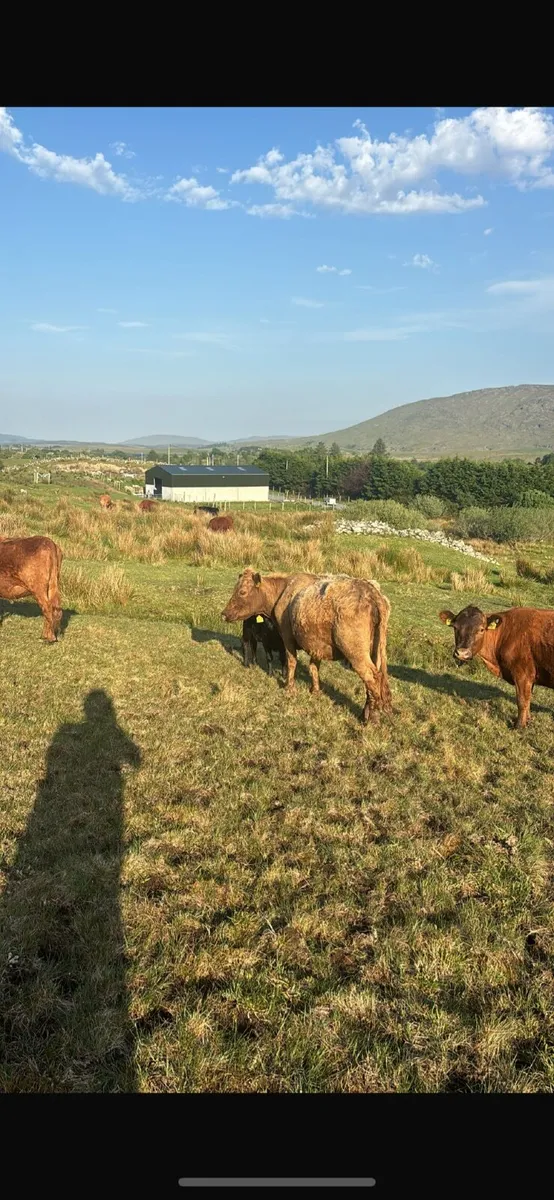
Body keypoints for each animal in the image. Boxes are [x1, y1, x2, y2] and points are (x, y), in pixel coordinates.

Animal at [222, 568, 392, 723]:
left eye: (242, 592)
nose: (224, 613)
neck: (284, 590)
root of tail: (371, 592)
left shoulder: (287, 637)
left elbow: (291, 662)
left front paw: (289, 688)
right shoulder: (316, 645)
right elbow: (313, 668)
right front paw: (315, 690)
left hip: (356, 653)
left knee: (372, 678)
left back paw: (372, 719)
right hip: (375, 650)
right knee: (376, 679)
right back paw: (365, 713)